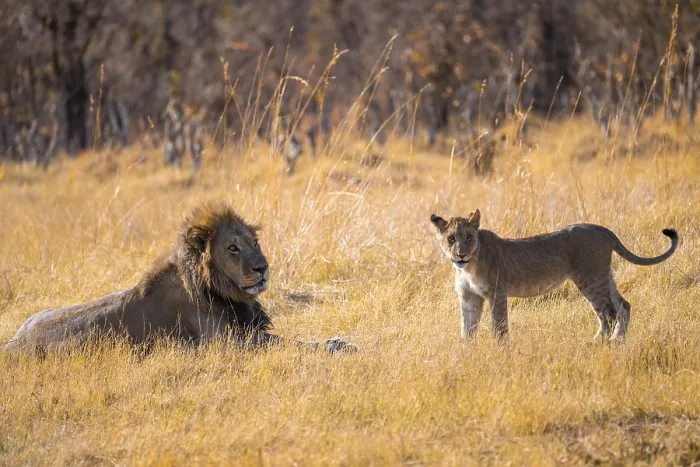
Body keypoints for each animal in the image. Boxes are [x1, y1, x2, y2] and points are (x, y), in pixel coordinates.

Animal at [4, 202, 357, 354]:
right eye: (232, 248)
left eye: (254, 242)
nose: (262, 267)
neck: (224, 292)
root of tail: (12, 346)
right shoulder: (230, 345)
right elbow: (290, 343)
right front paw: (339, 345)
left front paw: (336, 339)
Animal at [430, 210, 678, 342]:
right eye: (451, 238)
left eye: (469, 237)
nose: (461, 254)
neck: (467, 267)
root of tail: (601, 229)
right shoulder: (469, 297)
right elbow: (467, 328)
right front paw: (466, 351)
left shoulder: (496, 293)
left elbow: (499, 327)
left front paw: (499, 352)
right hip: (604, 276)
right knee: (623, 306)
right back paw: (617, 342)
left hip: (589, 279)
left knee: (608, 313)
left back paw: (598, 343)